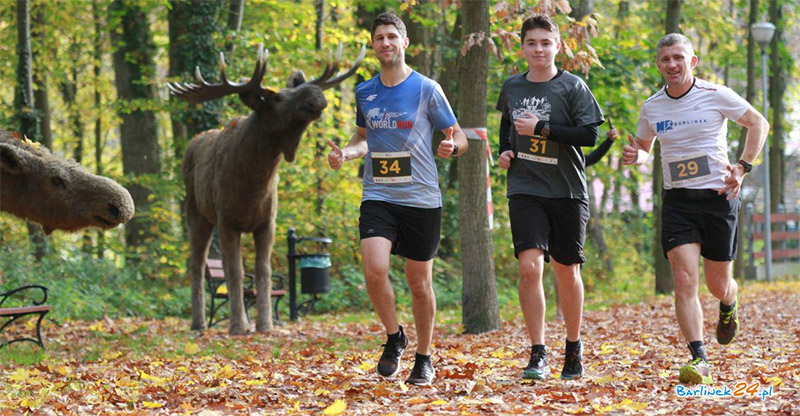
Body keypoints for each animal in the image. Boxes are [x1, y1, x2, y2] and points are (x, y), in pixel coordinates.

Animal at [170, 44, 368, 334]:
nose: (316, 95)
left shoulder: (267, 223)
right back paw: (199, 323)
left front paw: (264, 324)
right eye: (276, 99)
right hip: (196, 212)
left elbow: (263, 270)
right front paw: (238, 326)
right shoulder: (227, 221)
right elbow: (234, 271)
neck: (253, 186)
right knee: (196, 263)